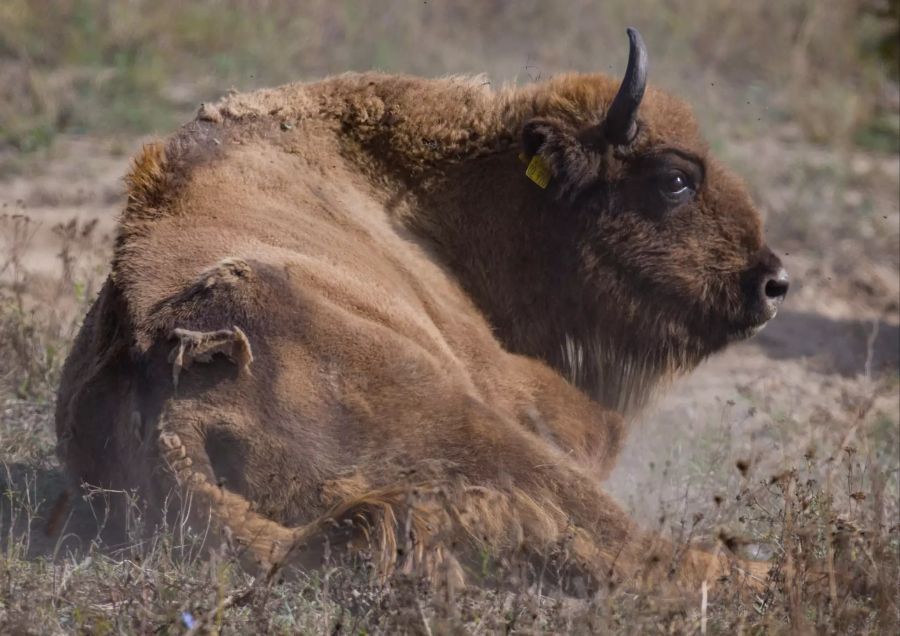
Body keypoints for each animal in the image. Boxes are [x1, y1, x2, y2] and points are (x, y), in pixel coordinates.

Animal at [56, 29, 788, 592]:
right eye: (675, 179)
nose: (773, 282)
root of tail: (163, 385)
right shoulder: (511, 382)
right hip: (462, 416)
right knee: (625, 540)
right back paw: (769, 575)